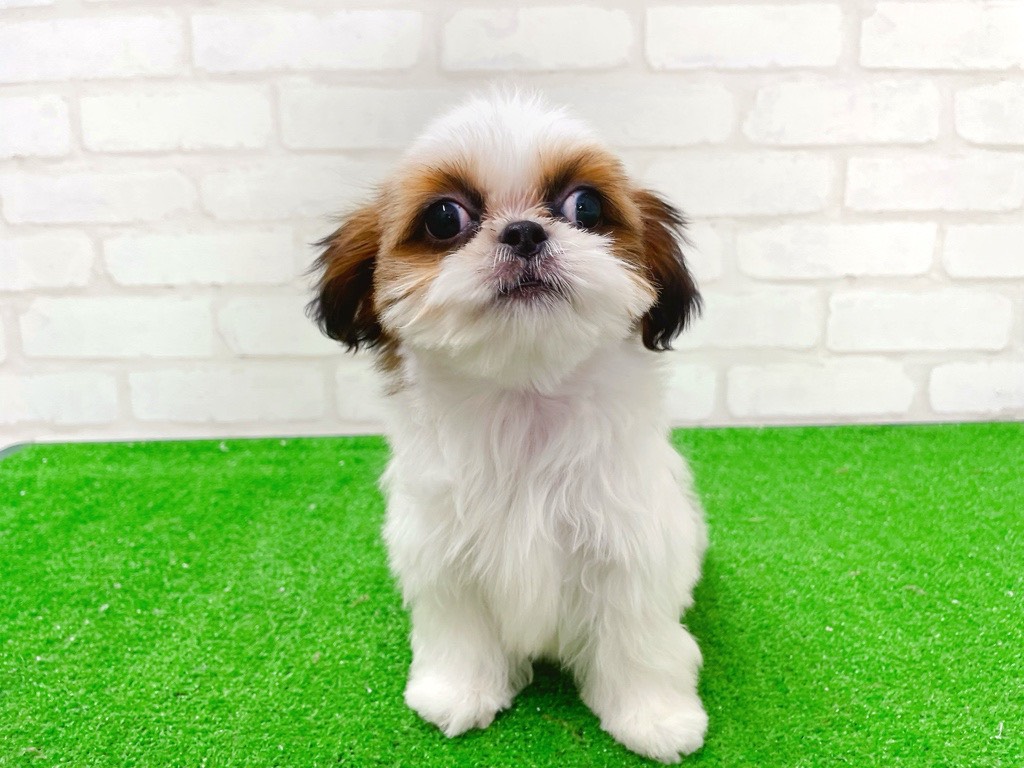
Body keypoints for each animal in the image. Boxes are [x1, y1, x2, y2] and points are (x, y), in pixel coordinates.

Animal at [309, 91, 708, 763]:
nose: (524, 230)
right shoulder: (444, 551)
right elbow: (460, 627)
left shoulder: (628, 546)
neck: (524, 403)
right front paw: (458, 692)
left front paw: (654, 717)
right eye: (444, 218)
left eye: (586, 206)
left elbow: (636, 637)